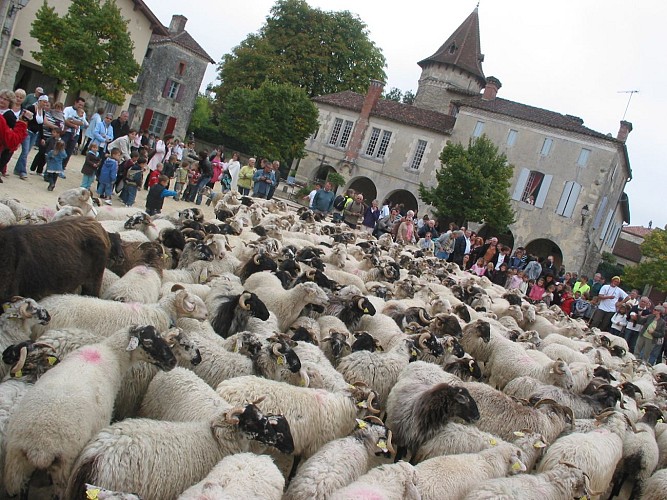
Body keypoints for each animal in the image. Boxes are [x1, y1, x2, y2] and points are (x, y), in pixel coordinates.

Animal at [2, 326, 179, 498]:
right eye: (148, 342)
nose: (172, 361)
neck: (111, 352)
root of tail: (39, 448)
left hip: (17, 467)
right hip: (64, 467)